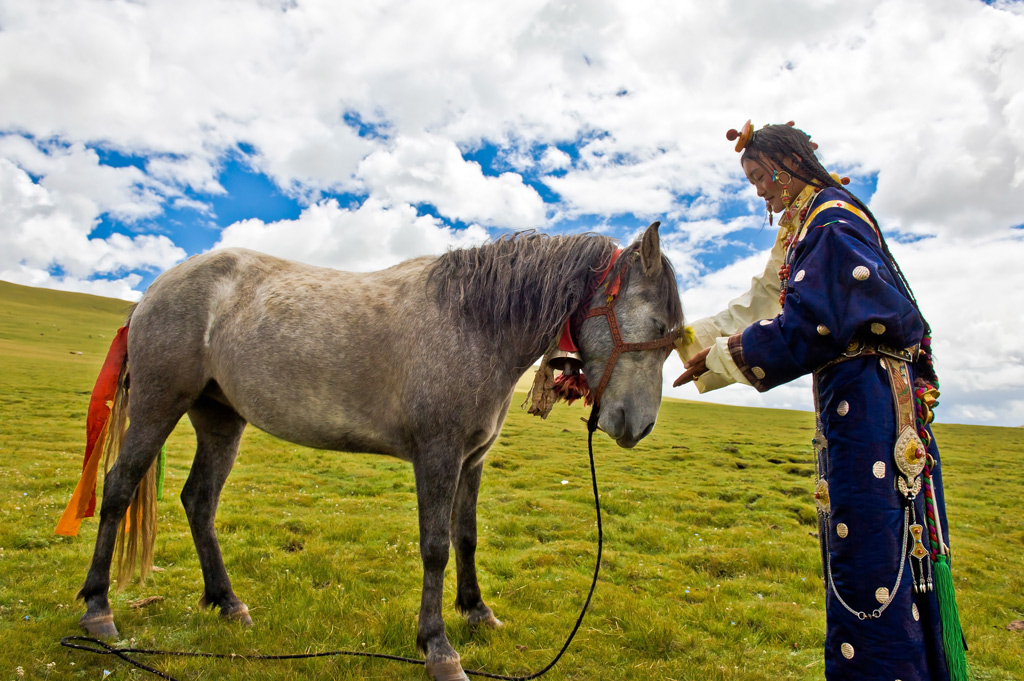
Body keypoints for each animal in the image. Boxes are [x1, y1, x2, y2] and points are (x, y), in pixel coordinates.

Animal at [70, 220, 679, 675]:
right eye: (655, 324)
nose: (638, 425)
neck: (473, 324)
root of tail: (154, 291)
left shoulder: (471, 460)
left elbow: (466, 536)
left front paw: (476, 612)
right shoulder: (437, 456)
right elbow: (436, 546)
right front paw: (437, 647)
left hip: (220, 419)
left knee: (199, 502)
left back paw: (227, 603)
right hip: (159, 406)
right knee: (119, 489)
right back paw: (99, 609)